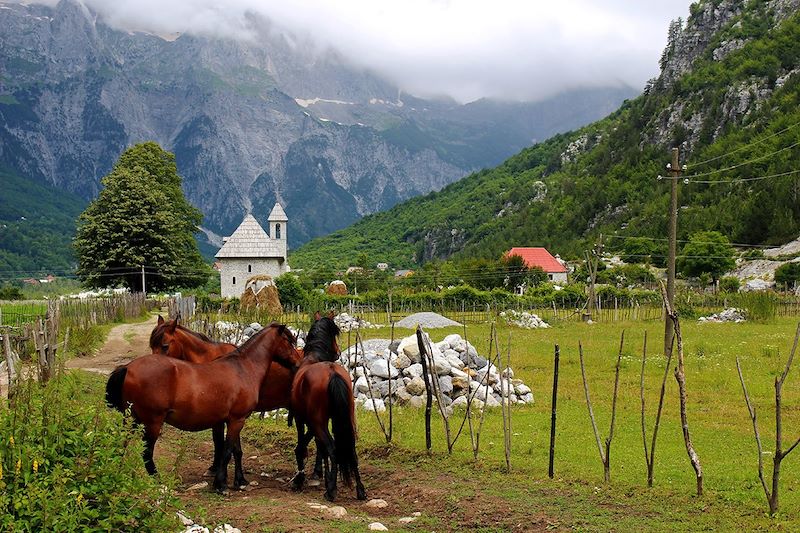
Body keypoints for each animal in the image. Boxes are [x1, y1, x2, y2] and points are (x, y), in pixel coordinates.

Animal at [108, 320, 298, 490]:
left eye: (164, 345)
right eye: (289, 341)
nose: (297, 362)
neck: (243, 368)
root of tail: (128, 367)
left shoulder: (234, 420)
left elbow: (235, 450)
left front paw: (240, 481)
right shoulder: (237, 420)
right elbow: (227, 450)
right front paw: (220, 484)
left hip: (131, 420)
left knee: (121, 444)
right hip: (152, 422)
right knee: (146, 453)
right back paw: (158, 481)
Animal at [290, 314, 366, 500]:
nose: (338, 352)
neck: (313, 358)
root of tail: (332, 372)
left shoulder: (301, 419)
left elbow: (309, 444)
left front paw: (304, 477)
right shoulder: (315, 422)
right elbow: (318, 446)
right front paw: (321, 475)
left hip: (319, 422)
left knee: (332, 448)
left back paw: (331, 490)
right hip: (344, 419)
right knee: (350, 449)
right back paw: (360, 490)